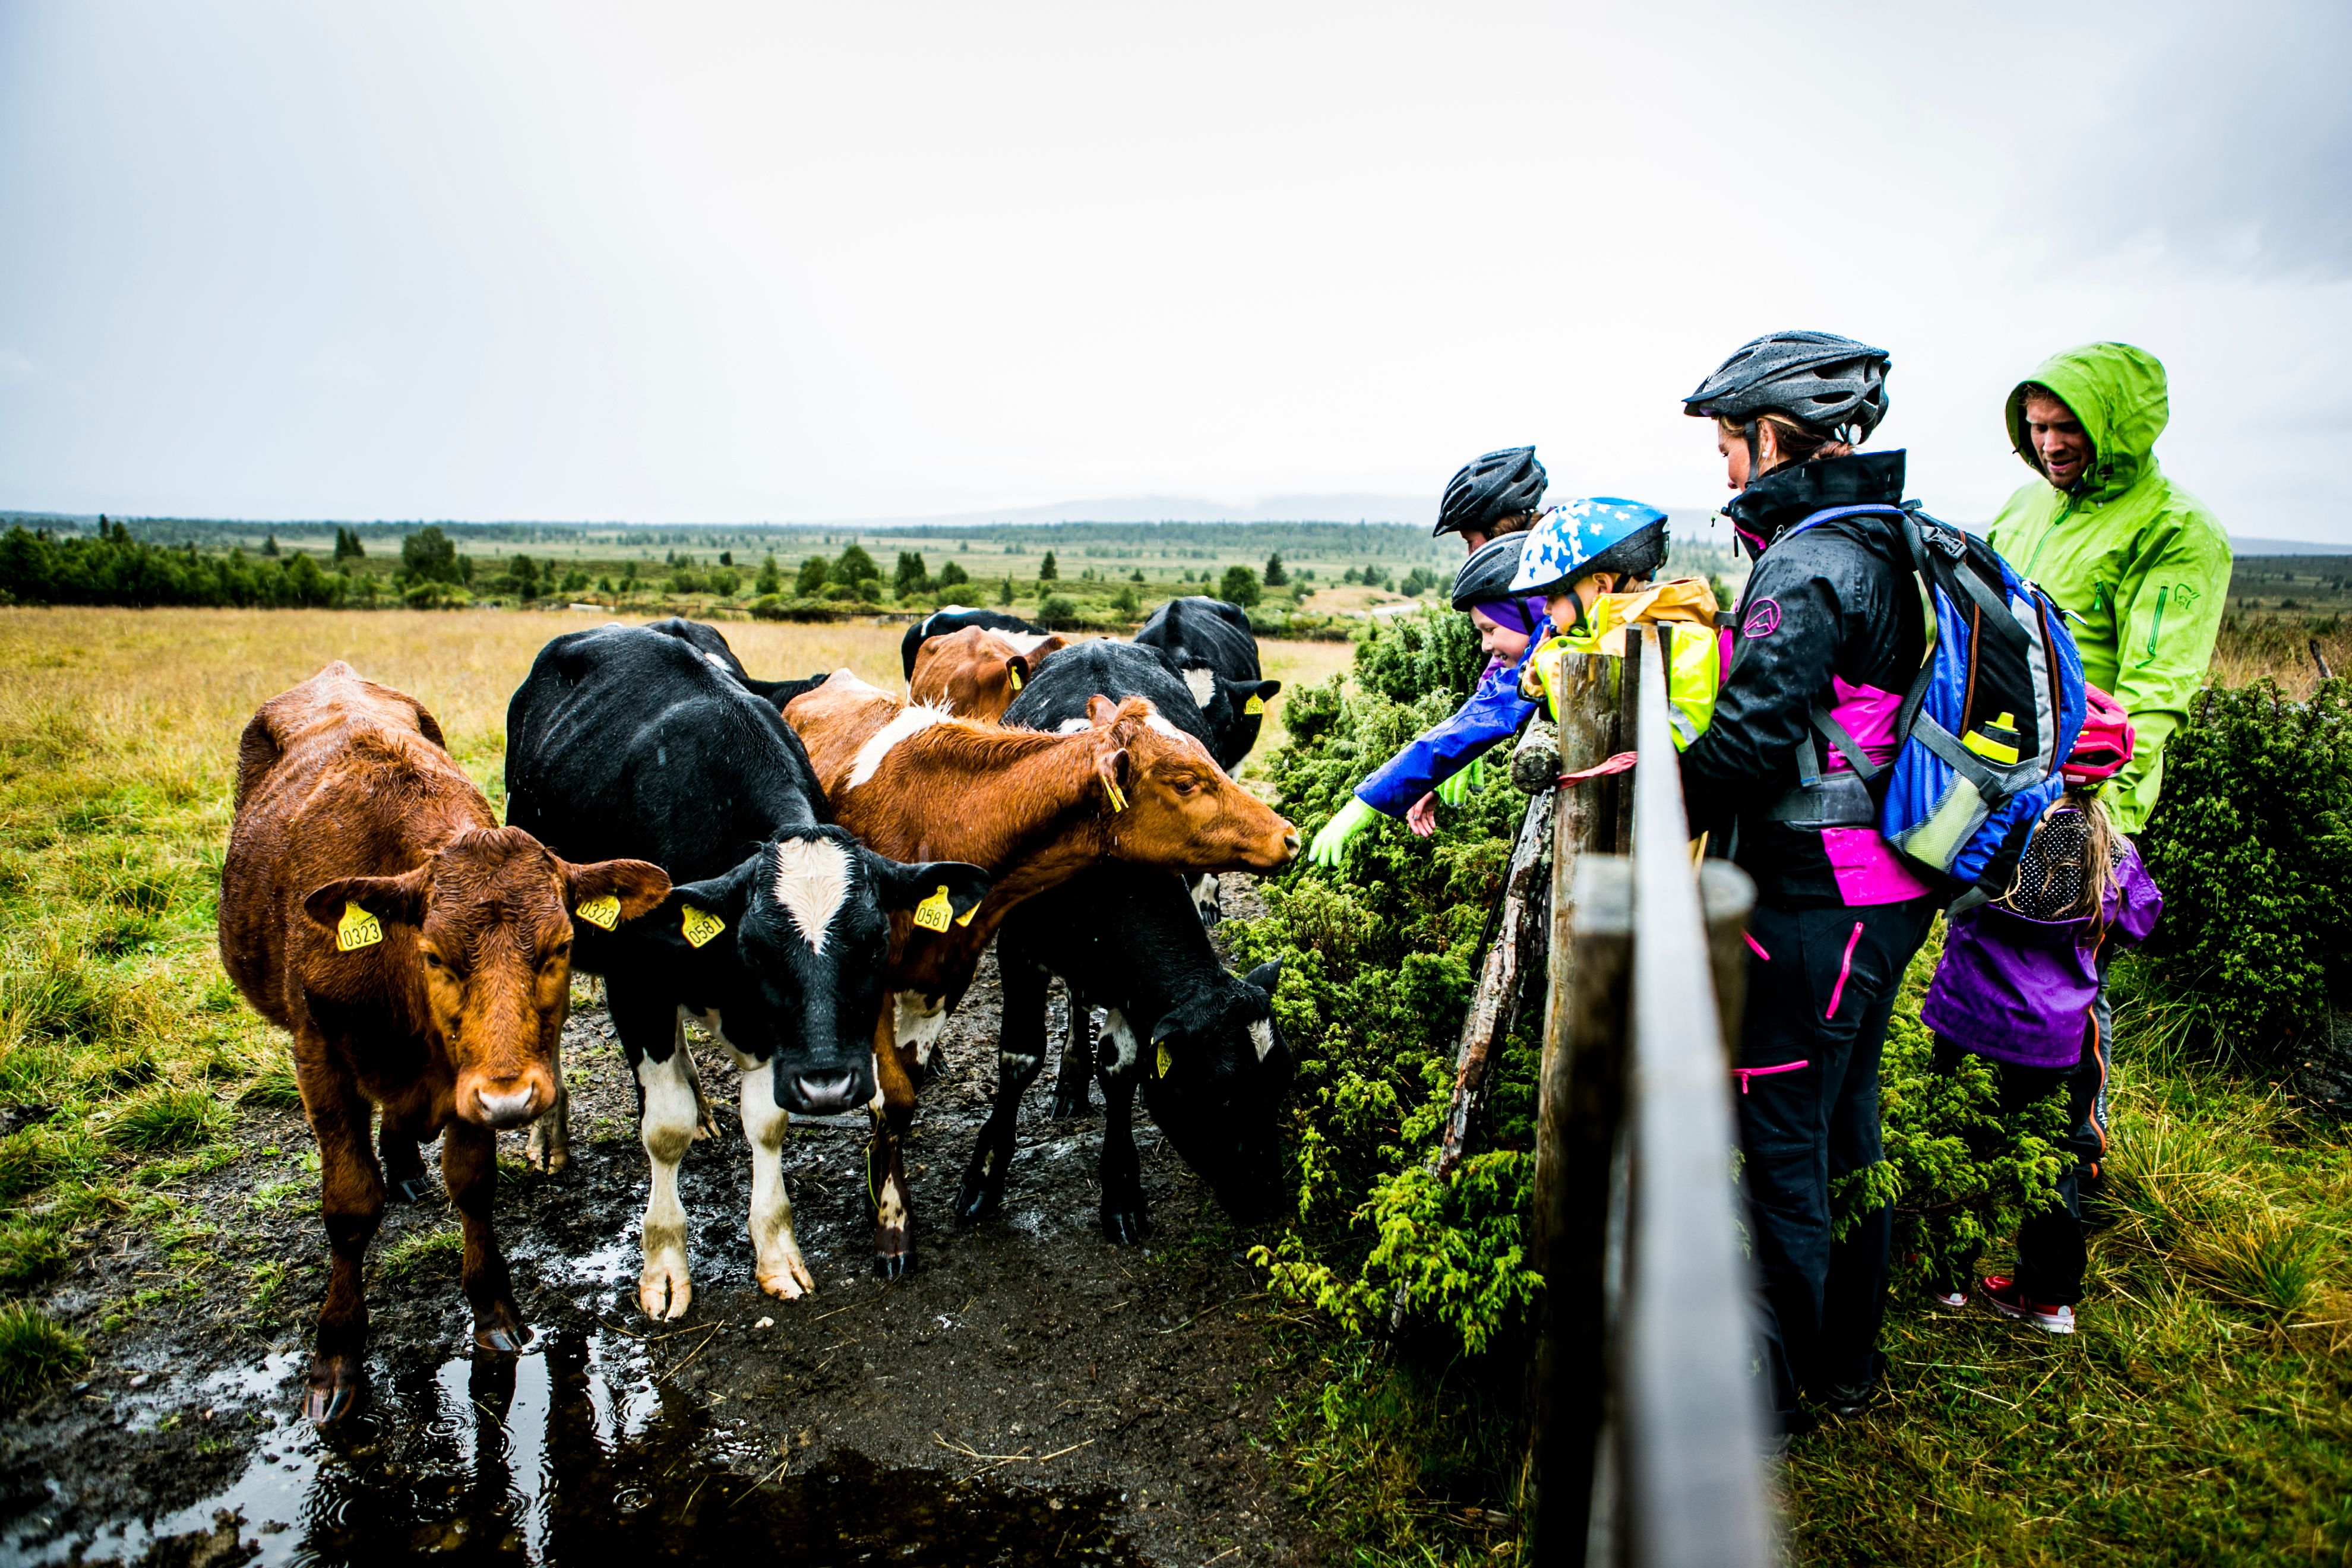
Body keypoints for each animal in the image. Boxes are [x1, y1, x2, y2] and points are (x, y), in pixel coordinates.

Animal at [219, 663, 670, 1422]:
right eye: (433, 955)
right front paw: (335, 1355)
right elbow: (349, 1205)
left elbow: (474, 1185)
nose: (513, 1098)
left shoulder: (470, 1083)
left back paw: (404, 1162)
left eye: (562, 947)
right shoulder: (319, 1056)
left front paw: (493, 1311)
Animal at [504, 625, 989, 1319]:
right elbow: (664, 1127)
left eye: (875, 943)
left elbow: (767, 1123)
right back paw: (549, 1139)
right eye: (755, 948)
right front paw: (665, 1266)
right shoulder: (636, 983)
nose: (829, 1085)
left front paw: (777, 1253)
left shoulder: (770, 1029)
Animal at [956, 865, 1291, 1242]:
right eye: (1221, 1097)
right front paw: (983, 1178)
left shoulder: (1128, 985)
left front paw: (1121, 1193)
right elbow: (1021, 1058)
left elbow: (1119, 1068)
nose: (1269, 1202)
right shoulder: (1017, 946)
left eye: (1283, 1085)